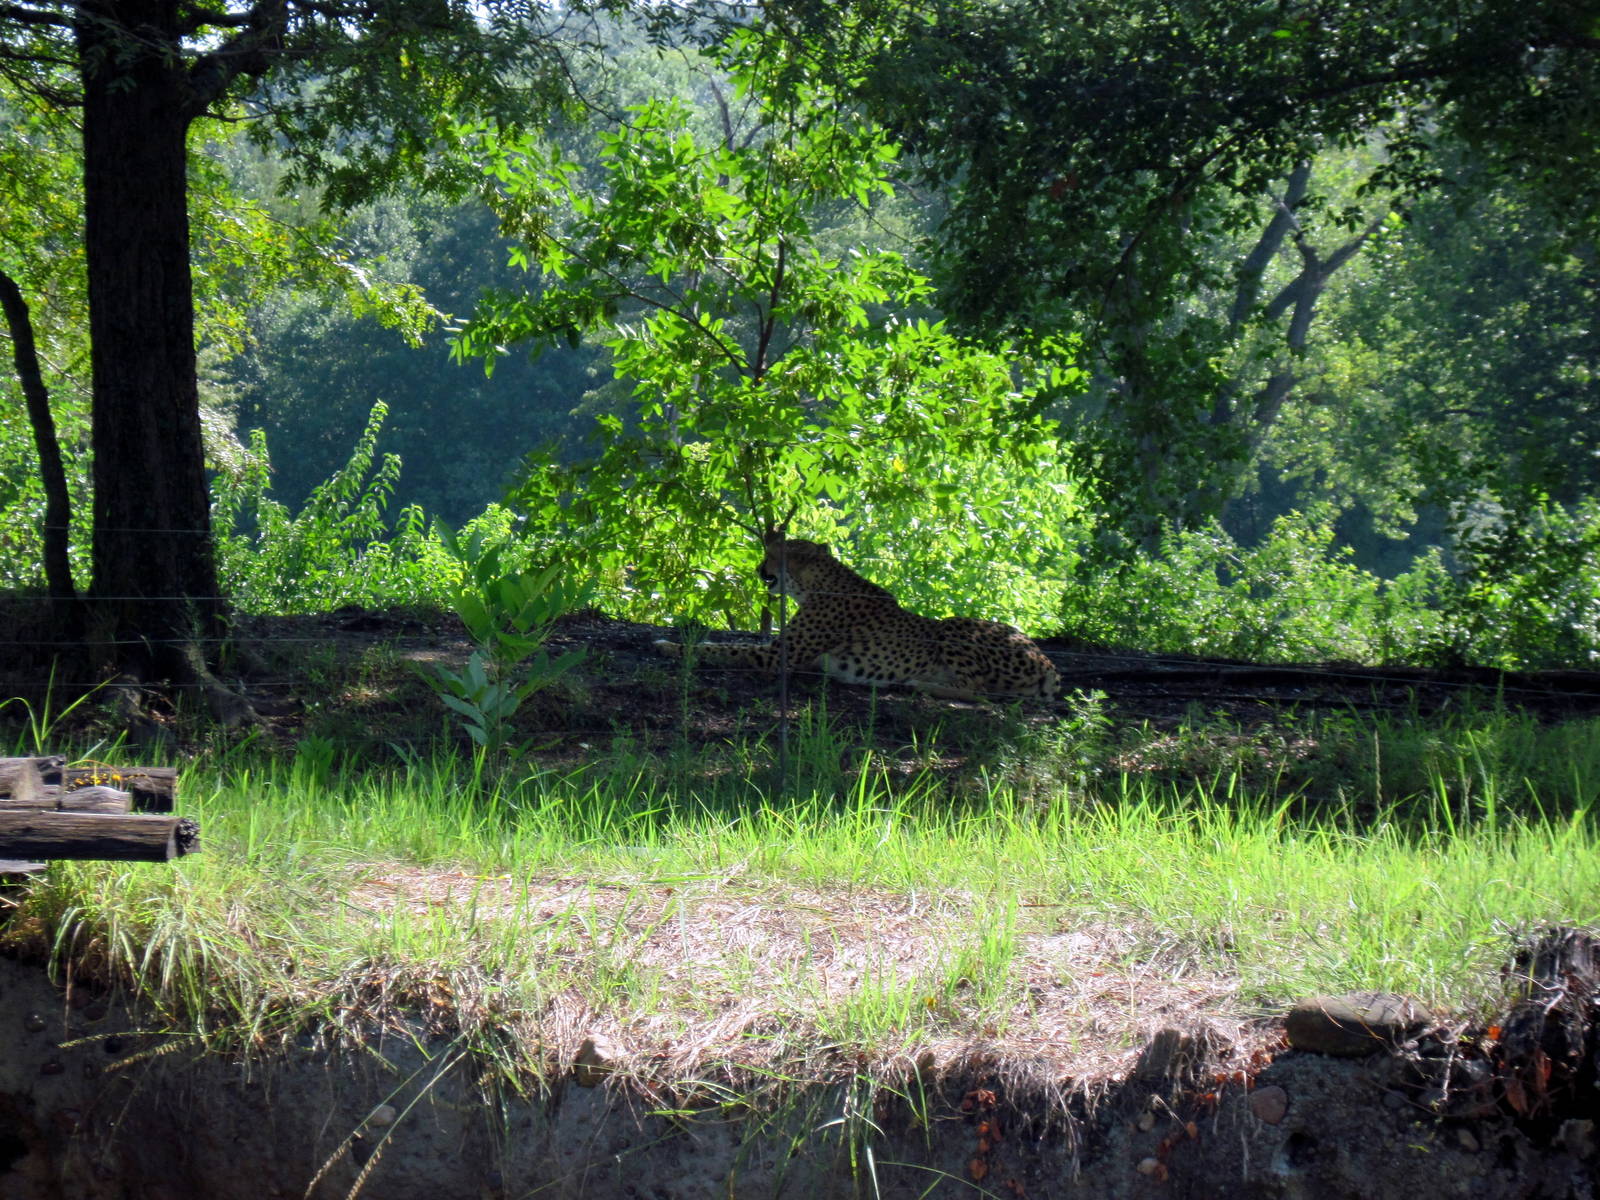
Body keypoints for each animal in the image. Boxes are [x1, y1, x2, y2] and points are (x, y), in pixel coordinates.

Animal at [654, 533, 1060, 701]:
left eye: (770, 555)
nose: (758, 569)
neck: (816, 584)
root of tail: (1048, 663)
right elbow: (726, 642)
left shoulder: (776, 657)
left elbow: (720, 649)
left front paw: (668, 646)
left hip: (953, 627)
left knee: (978, 692)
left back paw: (916, 683)